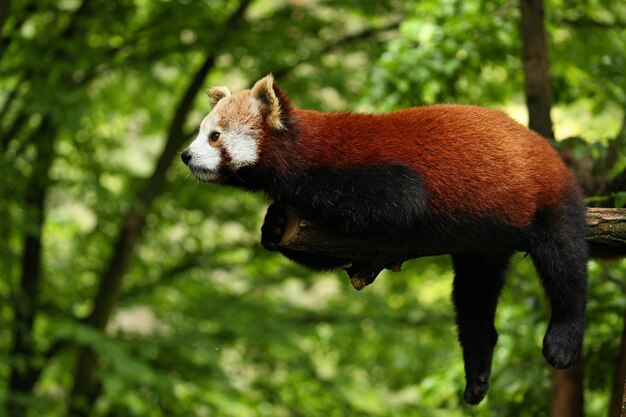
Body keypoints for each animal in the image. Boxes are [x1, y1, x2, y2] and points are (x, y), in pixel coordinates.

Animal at [179, 74, 584, 404]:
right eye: (201, 133)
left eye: (214, 136)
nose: (185, 155)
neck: (302, 147)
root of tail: (544, 145)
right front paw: (276, 224)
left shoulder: (367, 175)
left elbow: (398, 200)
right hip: (484, 241)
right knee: (473, 295)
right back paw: (478, 371)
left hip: (544, 197)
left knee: (565, 264)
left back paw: (563, 340)